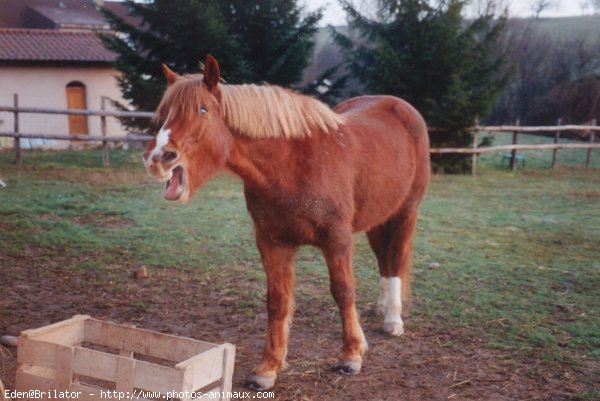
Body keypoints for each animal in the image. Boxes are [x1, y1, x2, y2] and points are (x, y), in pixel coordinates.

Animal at [143, 54, 428, 390]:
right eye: (164, 113)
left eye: (203, 109)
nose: (157, 157)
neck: (291, 166)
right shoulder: (272, 242)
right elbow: (277, 301)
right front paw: (268, 368)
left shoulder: (337, 240)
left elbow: (343, 292)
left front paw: (351, 355)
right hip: (376, 218)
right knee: (384, 259)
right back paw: (381, 308)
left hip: (406, 211)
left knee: (395, 258)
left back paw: (393, 320)